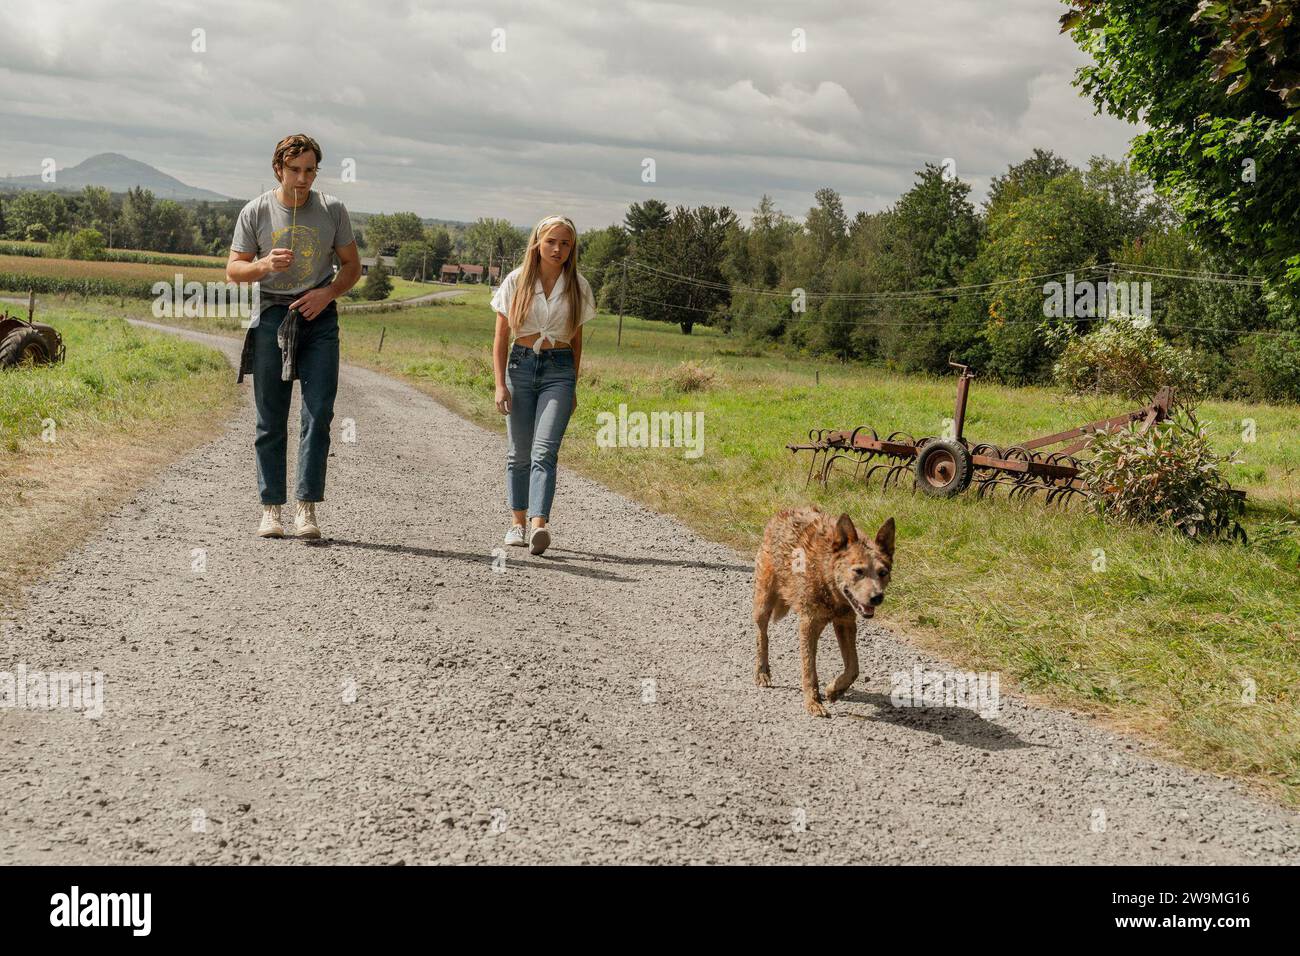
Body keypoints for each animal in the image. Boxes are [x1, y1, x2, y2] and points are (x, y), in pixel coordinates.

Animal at [754, 509, 894, 717]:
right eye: (858, 571)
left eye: (883, 573)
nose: (877, 597)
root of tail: (782, 513)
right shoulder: (808, 625)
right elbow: (809, 670)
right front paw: (813, 702)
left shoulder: (845, 623)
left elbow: (854, 668)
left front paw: (834, 690)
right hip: (763, 604)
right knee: (762, 636)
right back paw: (762, 672)